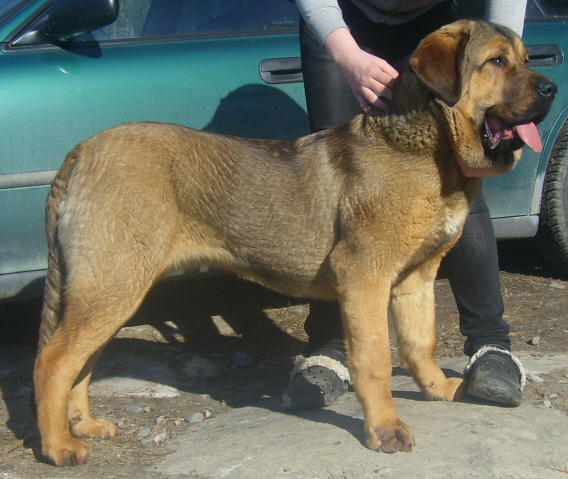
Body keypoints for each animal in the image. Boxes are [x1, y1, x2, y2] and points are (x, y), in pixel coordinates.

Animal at [34, 20, 556, 466]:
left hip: (108, 291)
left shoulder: (416, 280)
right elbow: (374, 361)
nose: (552, 88)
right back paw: (60, 445)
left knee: (79, 363)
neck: (427, 148)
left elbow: (419, 343)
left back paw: (83, 424)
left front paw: (436, 388)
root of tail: (81, 151)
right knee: (52, 363)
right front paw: (385, 428)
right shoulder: (364, 279)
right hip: (112, 284)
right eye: (496, 62)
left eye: (526, 59)